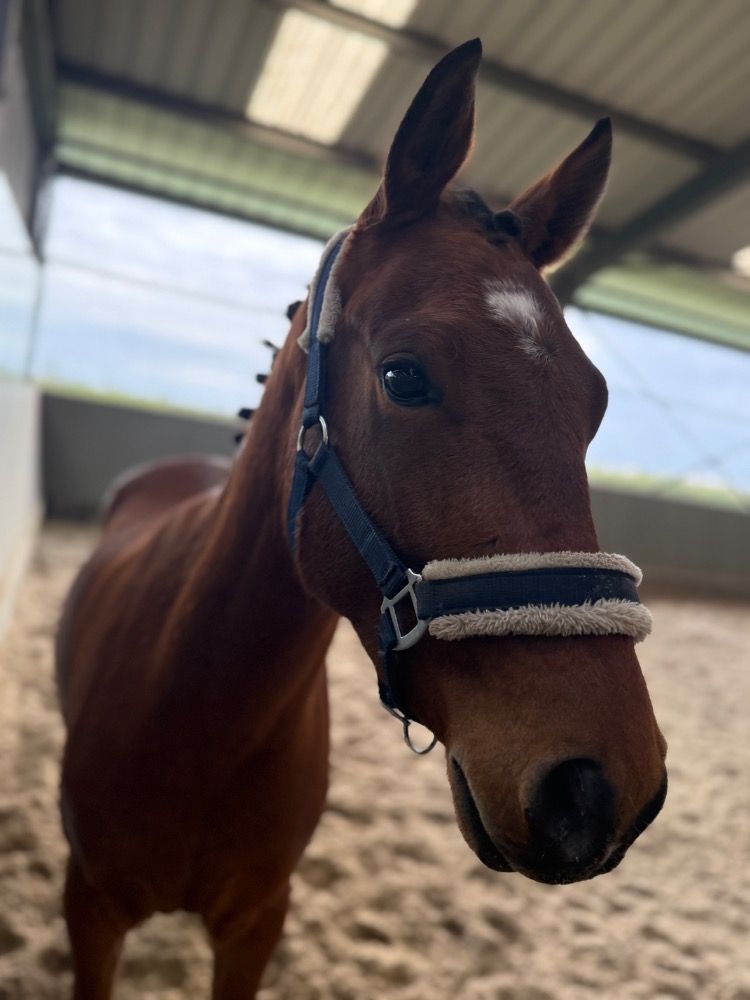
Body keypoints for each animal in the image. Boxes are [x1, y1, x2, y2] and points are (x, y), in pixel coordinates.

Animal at [56, 38, 667, 999]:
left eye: (596, 402)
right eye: (402, 376)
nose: (601, 790)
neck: (202, 714)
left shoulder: (254, 925)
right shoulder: (90, 914)